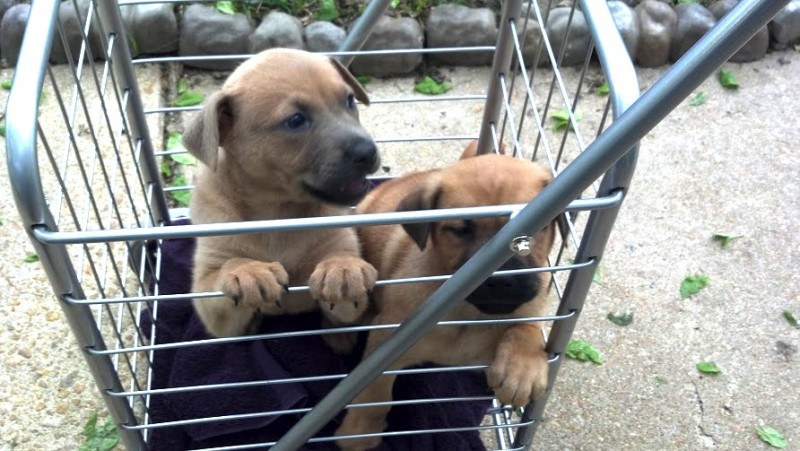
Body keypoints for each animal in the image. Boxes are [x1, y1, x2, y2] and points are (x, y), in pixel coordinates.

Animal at [183, 48, 380, 354]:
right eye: (296, 120)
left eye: (349, 100)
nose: (367, 151)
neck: (278, 213)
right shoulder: (212, 307)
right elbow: (227, 268)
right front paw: (246, 271)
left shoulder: (341, 250)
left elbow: (340, 262)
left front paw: (343, 268)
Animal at [334, 147, 552, 450]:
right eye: (461, 231)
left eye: (535, 231)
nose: (503, 280)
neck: (468, 314)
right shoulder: (384, 347)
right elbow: (374, 396)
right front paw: (360, 432)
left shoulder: (532, 302)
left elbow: (528, 327)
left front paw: (522, 370)